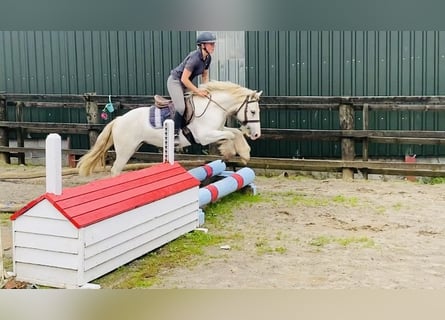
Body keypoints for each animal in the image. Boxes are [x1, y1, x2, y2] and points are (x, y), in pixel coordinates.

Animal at [78, 79, 262, 175]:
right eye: (253, 111)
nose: (256, 135)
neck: (212, 107)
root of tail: (118, 120)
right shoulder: (204, 136)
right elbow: (231, 136)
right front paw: (229, 152)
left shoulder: (217, 130)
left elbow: (235, 132)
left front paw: (244, 154)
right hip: (125, 150)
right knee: (116, 170)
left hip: (133, 146)